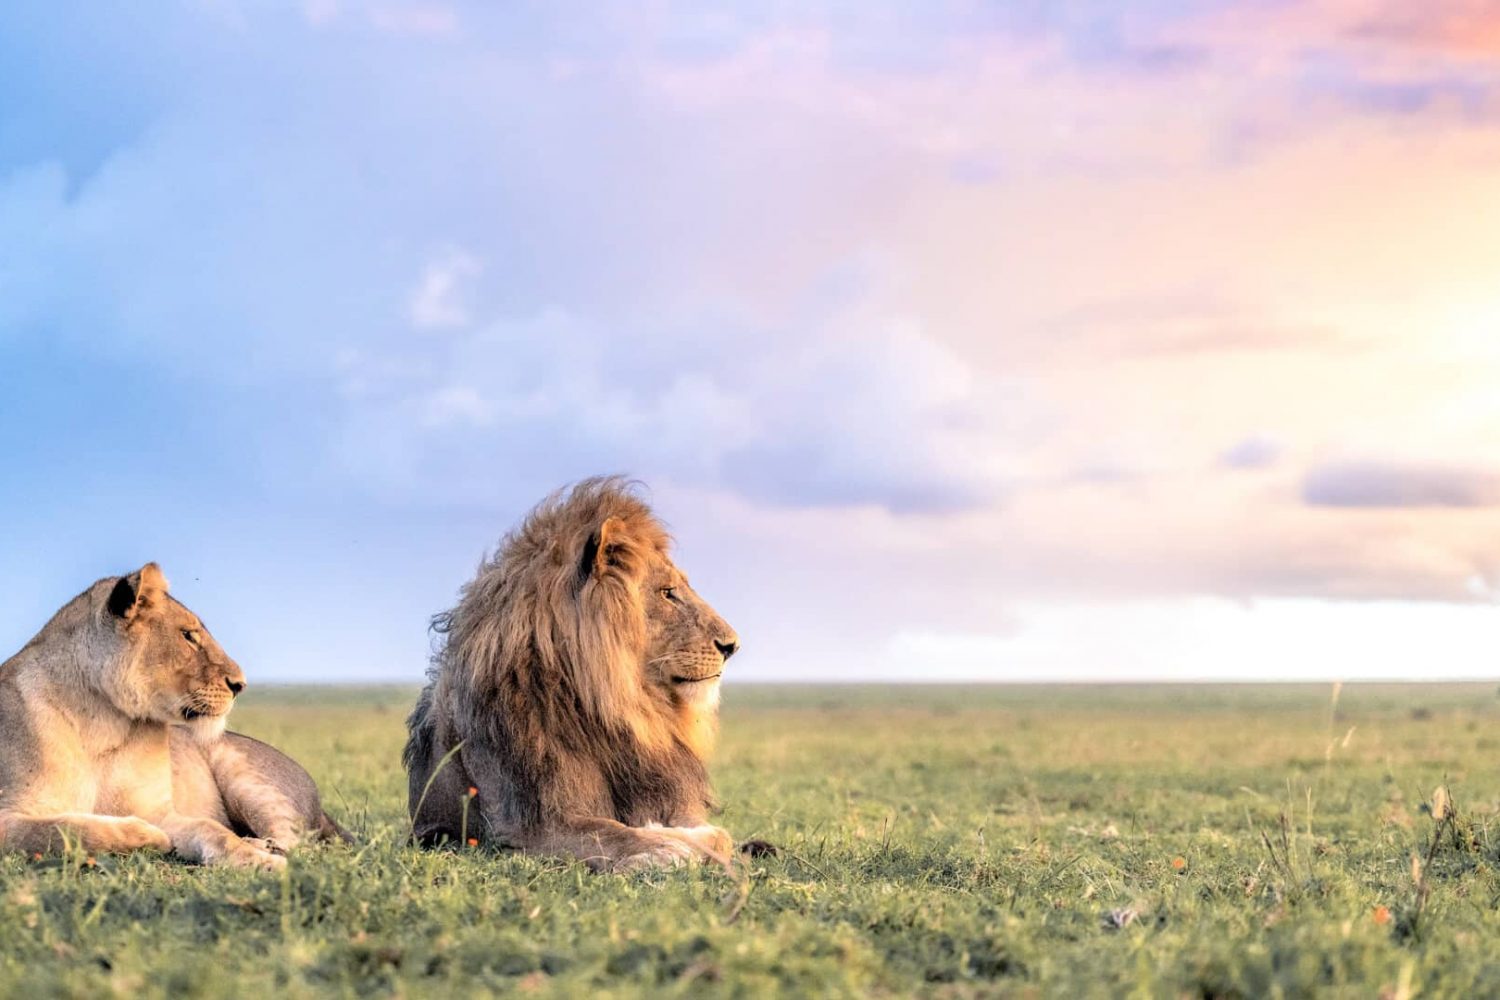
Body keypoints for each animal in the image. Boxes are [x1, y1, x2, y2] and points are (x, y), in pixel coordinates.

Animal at [0, 563, 348, 869]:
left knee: (297, 839)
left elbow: (213, 830)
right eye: (189, 636)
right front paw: (147, 834)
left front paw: (261, 862)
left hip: (249, 780)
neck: (105, 719)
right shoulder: (9, 815)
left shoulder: (162, 811)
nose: (240, 684)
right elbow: (65, 829)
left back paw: (263, 845)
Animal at [405, 476, 744, 869]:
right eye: (668, 593)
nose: (732, 645)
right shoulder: (529, 830)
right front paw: (665, 848)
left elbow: (720, 836)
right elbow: (612, 833)